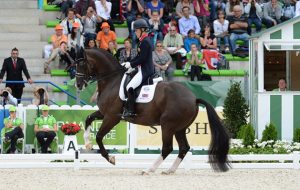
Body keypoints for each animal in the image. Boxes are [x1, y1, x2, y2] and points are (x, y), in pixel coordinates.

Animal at [75, 47, 230, 174]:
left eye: (81, 64)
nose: (78, 85)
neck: (111, 80)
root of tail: (193, 98)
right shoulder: (104, 113)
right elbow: (88, 118)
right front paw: (87, 143)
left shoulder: (112, 117)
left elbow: (99, 136)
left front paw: (110, 158)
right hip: (179, 128)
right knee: (184, 148)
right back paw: (169, 170)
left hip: (168, 125)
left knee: (167, 148)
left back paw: (149, 169)